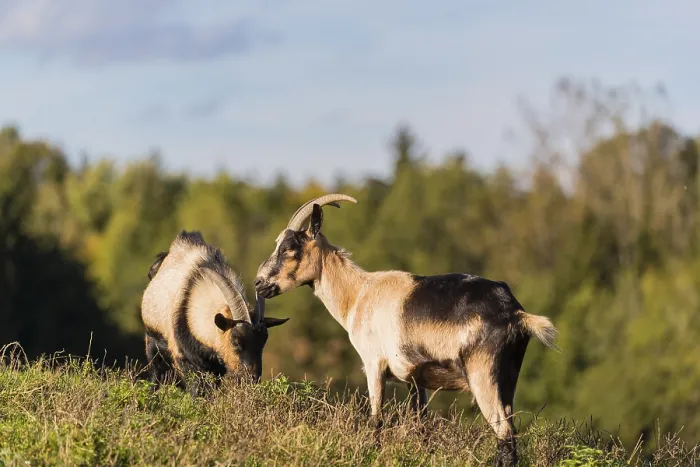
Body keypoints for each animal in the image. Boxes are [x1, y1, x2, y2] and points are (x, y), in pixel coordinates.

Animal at [142, 230, 289, 395]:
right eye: (235, 341)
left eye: (263, 341)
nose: (252, 378)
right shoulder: (186, 359)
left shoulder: (217, 367)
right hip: (153, 342)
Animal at [254, 194, 558, 466]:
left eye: (290, 249)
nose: (259, 283)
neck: (358, 294)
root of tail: (515, 313)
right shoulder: (415, 378)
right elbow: (420, 425)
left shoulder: (374, 363)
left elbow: (376, 419)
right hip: (507, 377)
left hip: (483, 374)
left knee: (504, 432)